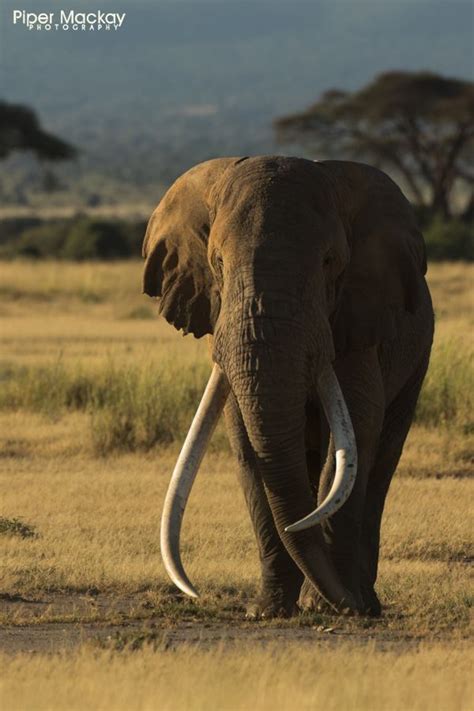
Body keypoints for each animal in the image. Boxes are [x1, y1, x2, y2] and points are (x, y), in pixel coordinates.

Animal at [143, 154, 436, 616]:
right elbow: (248, 445)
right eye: (218, 264)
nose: (345, 605)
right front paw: (267, 610)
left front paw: (331, 606)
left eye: (330, 263)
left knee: (382, 460)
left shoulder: (356, 319)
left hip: (417, 355)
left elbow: (355, 429)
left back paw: (364, 599)